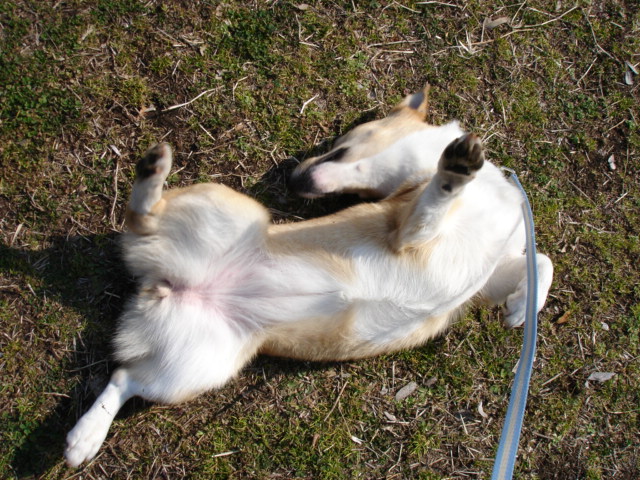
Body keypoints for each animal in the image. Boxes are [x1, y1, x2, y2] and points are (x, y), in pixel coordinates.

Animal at [64, 88, 553, 467]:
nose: (296, 180)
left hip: (194, 368)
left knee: (123, 379)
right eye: (340, 147)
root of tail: (161, 281)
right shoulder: (411, 228)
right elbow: (441, 195)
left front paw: (522, 308)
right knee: (139, 217)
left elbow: (541, 262)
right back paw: (153, 169)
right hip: (236, 212)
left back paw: (85, 437)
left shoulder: (491, 276)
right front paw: (456, 168)